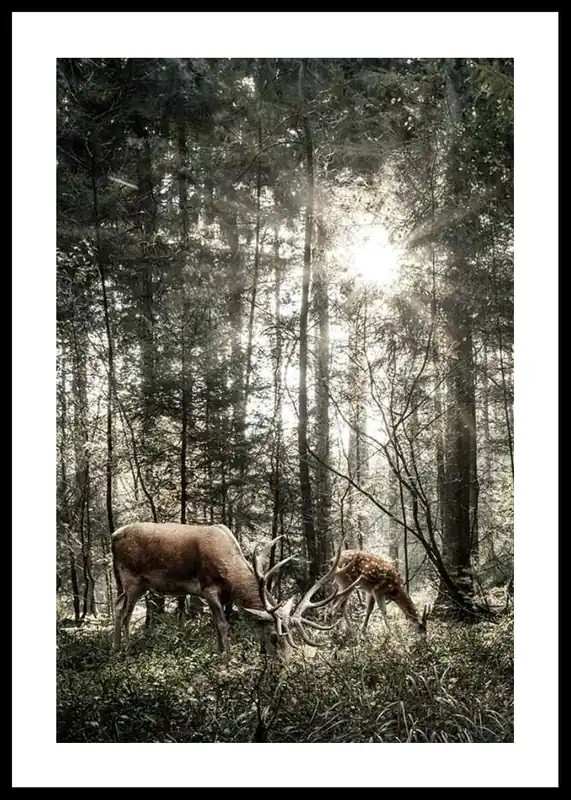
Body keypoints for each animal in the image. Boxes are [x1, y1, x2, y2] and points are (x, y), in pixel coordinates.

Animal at [111, 521, 350, 663]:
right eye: (274, 637)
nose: (285, 663)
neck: (230, 575)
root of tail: (114, 535)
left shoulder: (224, 596)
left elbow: (218, 625)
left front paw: (218, 653)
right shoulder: (207, 587)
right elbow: (223, 624)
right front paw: (228, 659)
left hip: (136, 584)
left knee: (118, 606)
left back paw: (118, 646)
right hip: (131, 577)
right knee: (125, 611)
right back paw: (125, 648)